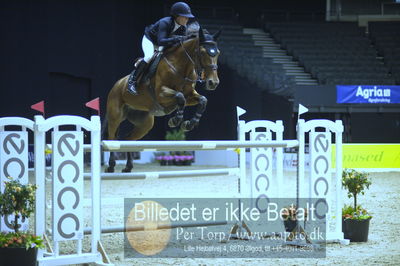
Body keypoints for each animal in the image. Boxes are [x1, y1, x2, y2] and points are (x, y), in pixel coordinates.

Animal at [104, 27, 220, 172]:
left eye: (218, 53)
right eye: (203, 52)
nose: (213, 83)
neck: (181, 67)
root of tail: (117, 85)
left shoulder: (190, 95)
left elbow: (202, 100)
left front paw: (189, 124)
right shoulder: (161, 94)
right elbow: (180, 97)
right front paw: (174, 120)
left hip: (144, 124)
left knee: (127, 140)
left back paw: (128, 167)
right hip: (115, 116)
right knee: (112, 138)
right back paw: (111, 166)